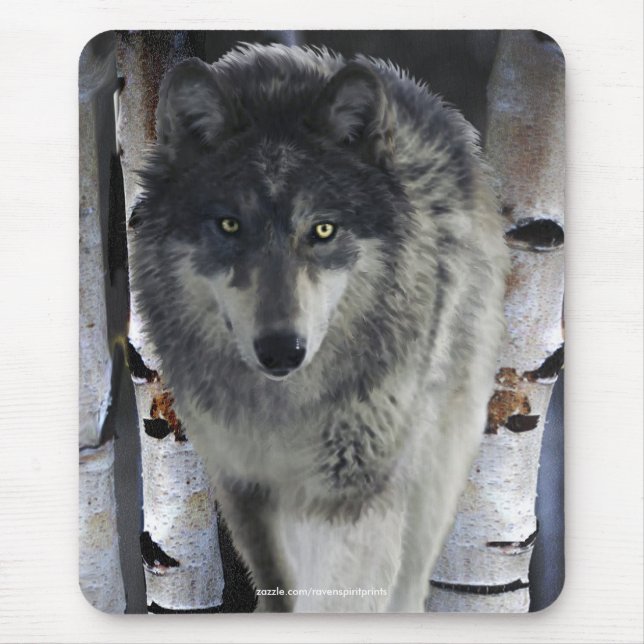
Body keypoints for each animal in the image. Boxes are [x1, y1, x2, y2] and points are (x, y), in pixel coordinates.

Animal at [131, 43, 508, 612]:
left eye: (323, 229)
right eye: (229, 225)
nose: (281, 350)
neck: (285, 409)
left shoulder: (356, 492)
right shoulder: (243, 483)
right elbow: (280, 589)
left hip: (433, 466)